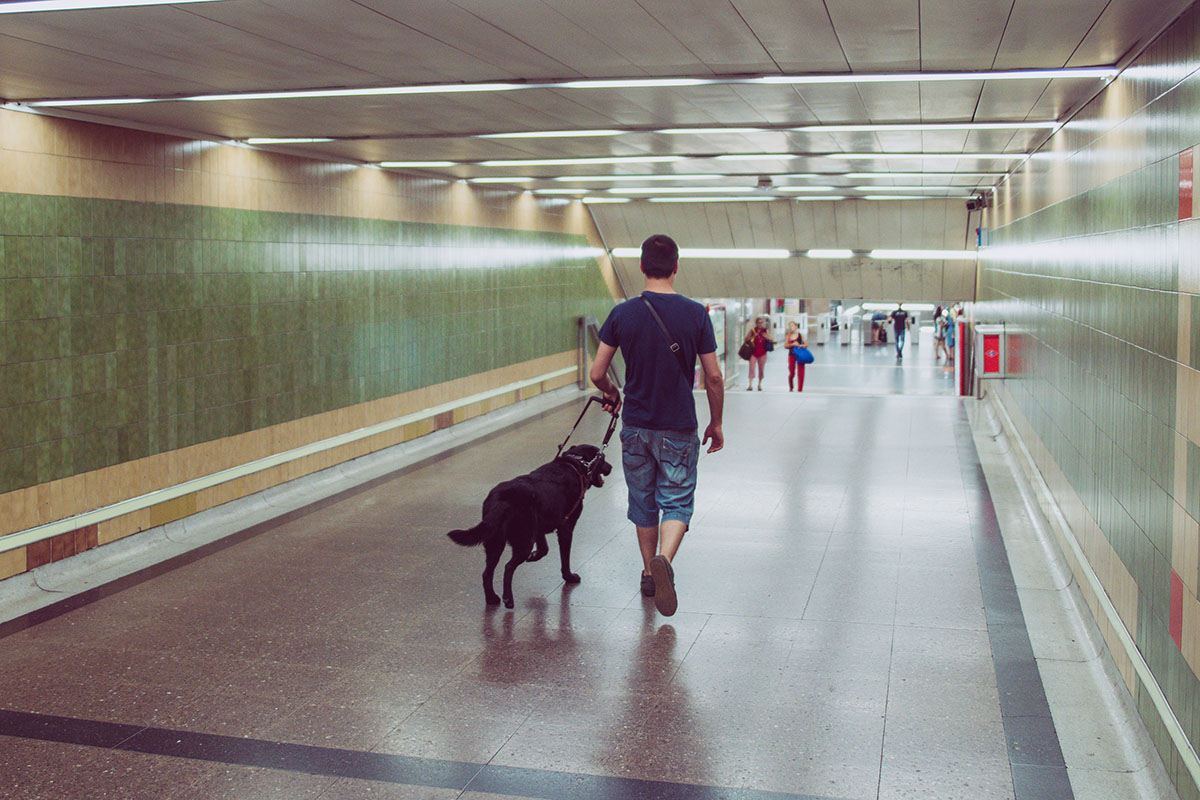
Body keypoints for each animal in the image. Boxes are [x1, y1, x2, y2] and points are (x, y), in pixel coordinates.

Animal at [448, 443, 609, 606]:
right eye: (603, 458)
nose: (611, 467)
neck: (575, 464)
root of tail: (502, 499)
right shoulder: (566, 528)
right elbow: (564, 558)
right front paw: (569, 576)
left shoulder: (538, 528)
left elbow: (544, 548)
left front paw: (534, 556)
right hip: (522, 541)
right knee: (508, 567)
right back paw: (508, 598)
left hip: (495, 540)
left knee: (487, 573)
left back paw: (492, 598)